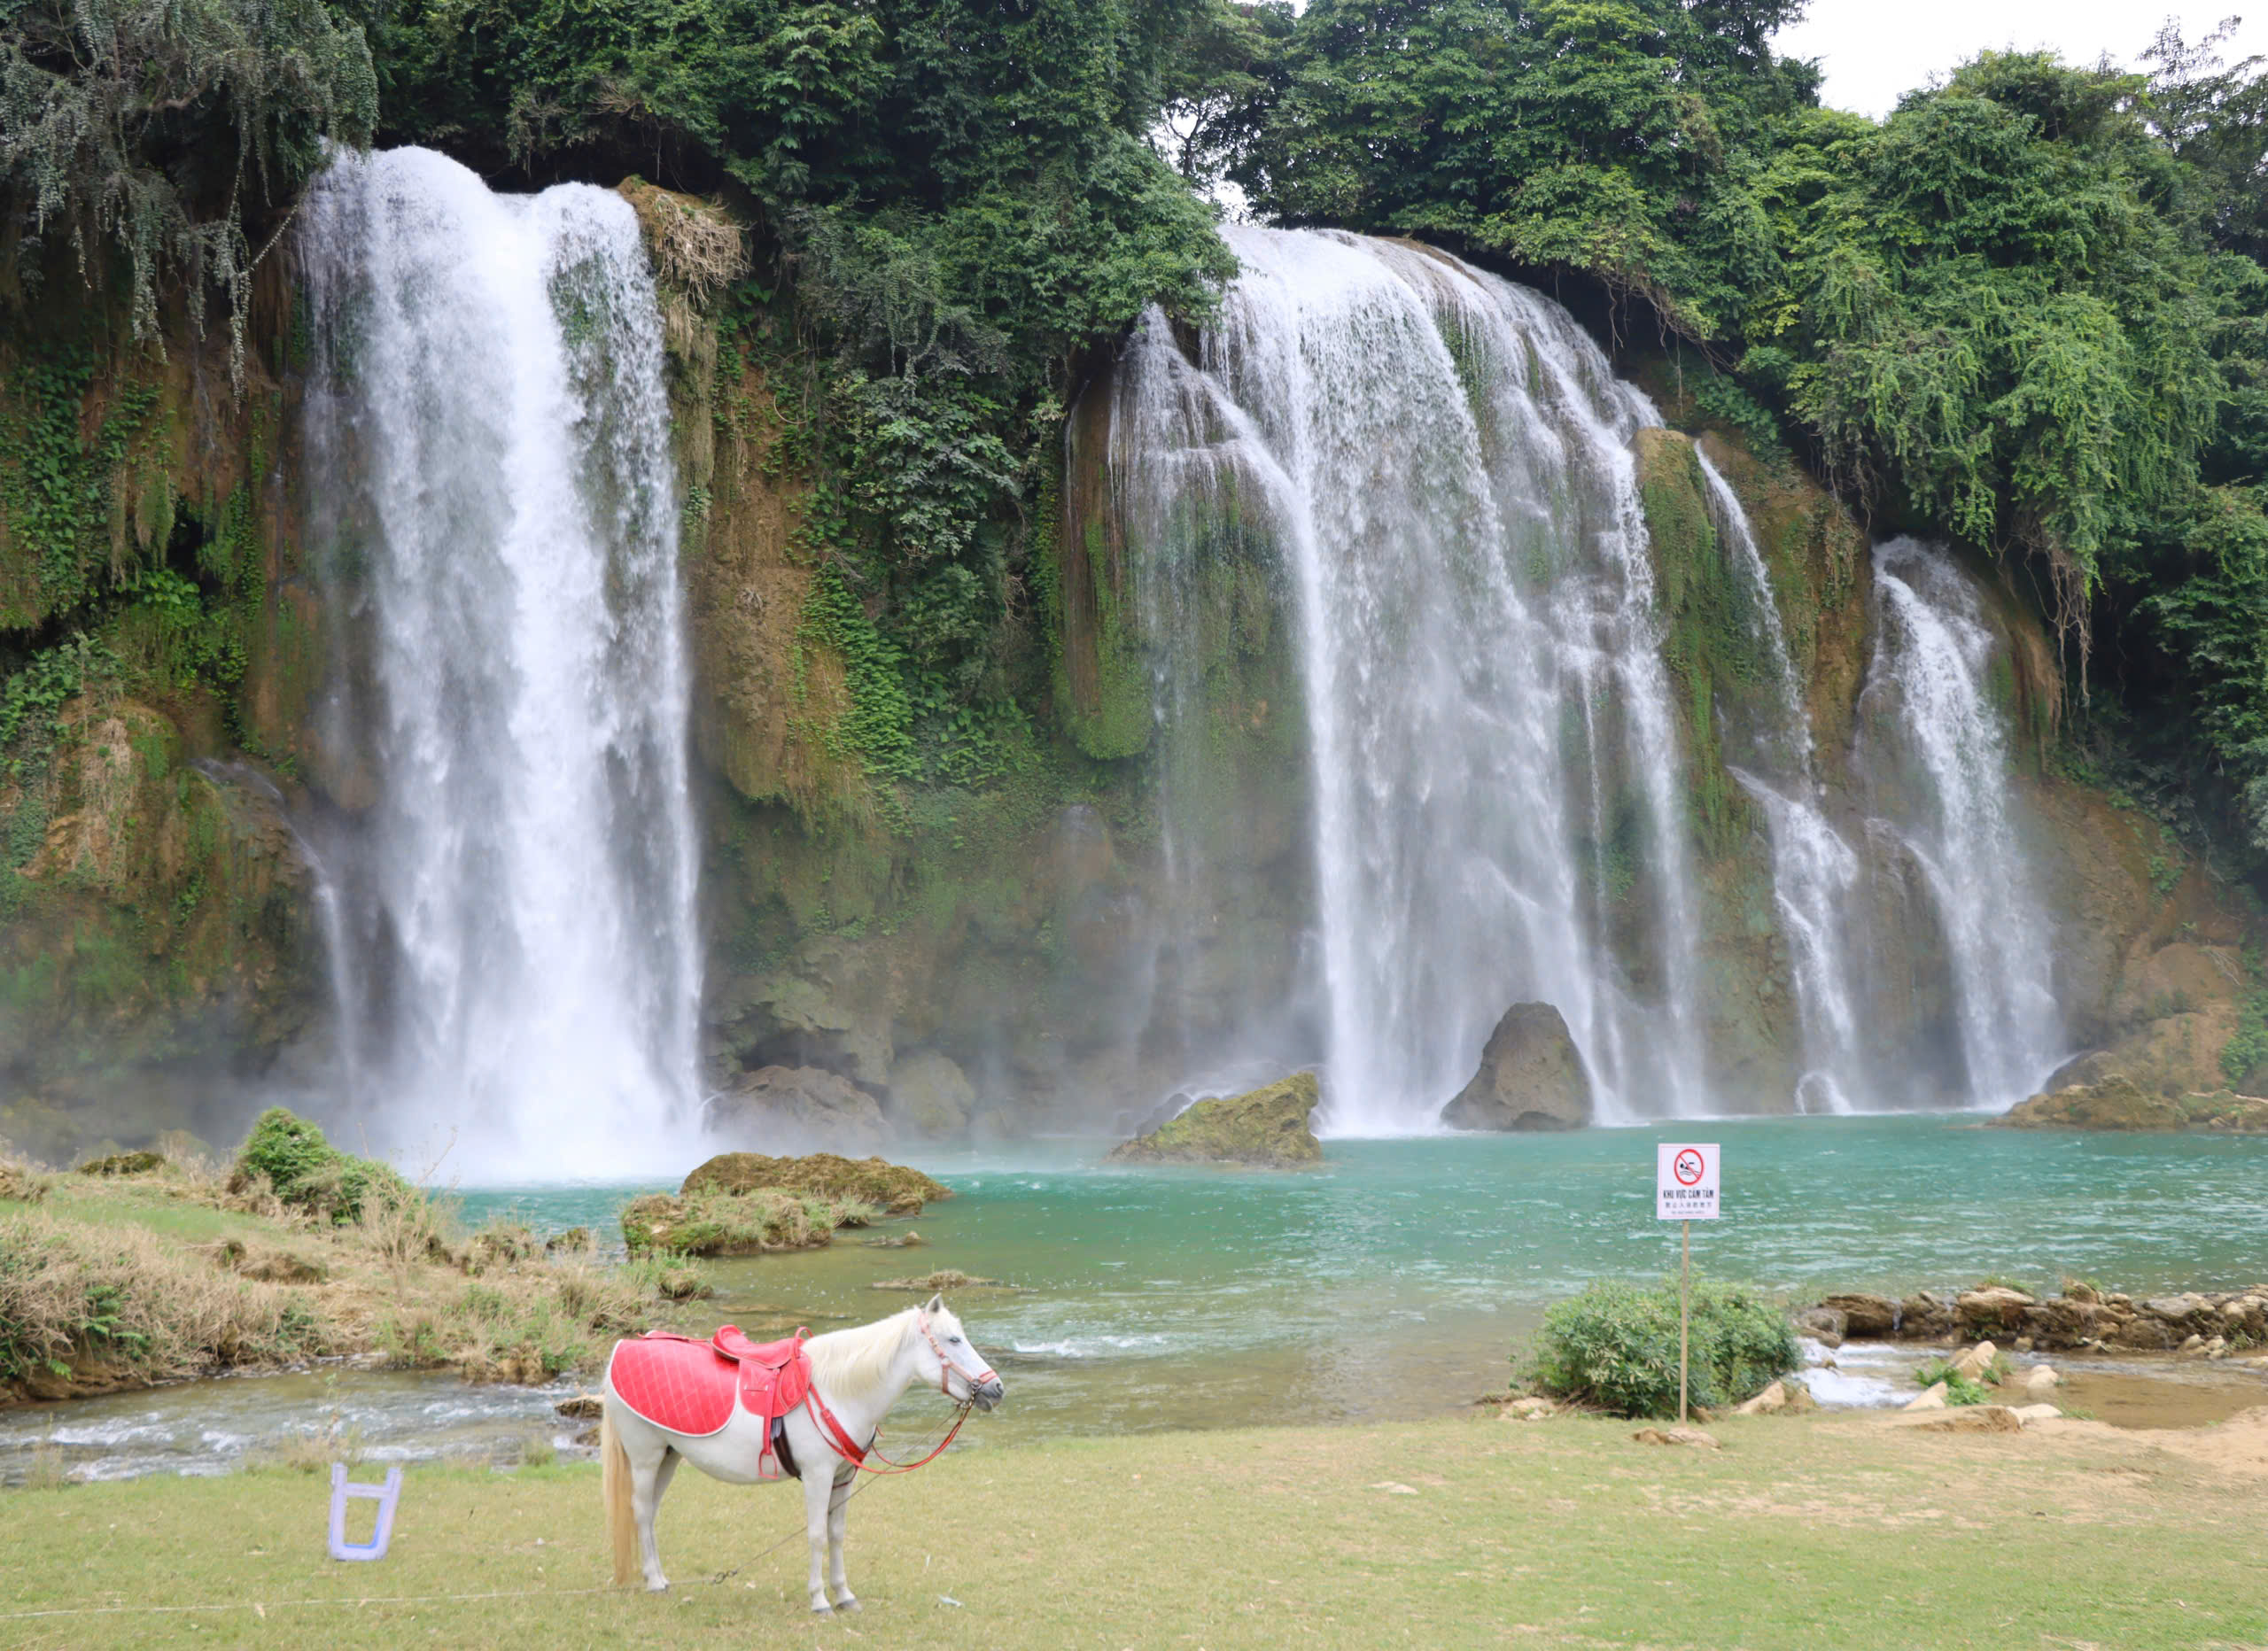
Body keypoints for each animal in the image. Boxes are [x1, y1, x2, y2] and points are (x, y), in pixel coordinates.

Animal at [602, 1288, 1002, 1615]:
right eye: (954, 1339)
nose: (996, 1388)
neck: (837, 1390)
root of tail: (625, 1348)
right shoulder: (817, 1476)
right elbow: (817, 1535)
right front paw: (820, 1600)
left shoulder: (843, 1477)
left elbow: (836, 1534)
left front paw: (845, 1596)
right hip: (645, 1457)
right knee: (641, 1511)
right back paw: (655, 1582)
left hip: (668, 1456)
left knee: (650, 1514)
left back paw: (659, 1578)